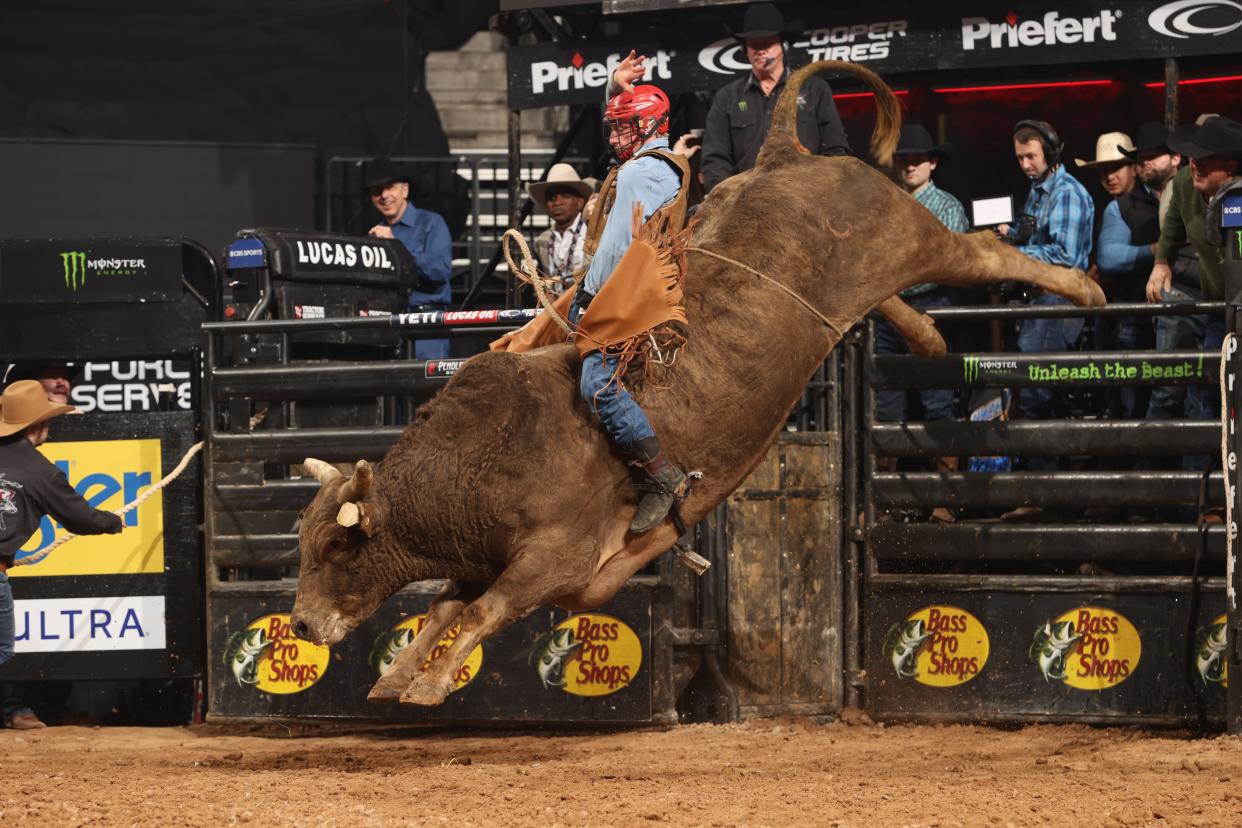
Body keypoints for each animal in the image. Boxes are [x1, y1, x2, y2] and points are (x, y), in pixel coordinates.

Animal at [290, 58, 1107, 705]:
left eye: (335, 547)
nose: (298, 622)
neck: (481, 459)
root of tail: (782, 155)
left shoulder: (555, 558)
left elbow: (480, 612)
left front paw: (428, 683)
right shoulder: (477, 557)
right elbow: (441, 607)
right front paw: (397, 675)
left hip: (908, 235)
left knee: (981, 250)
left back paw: (1085, 289)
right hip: (868, 278)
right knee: (897, 300)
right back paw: (932, 336)